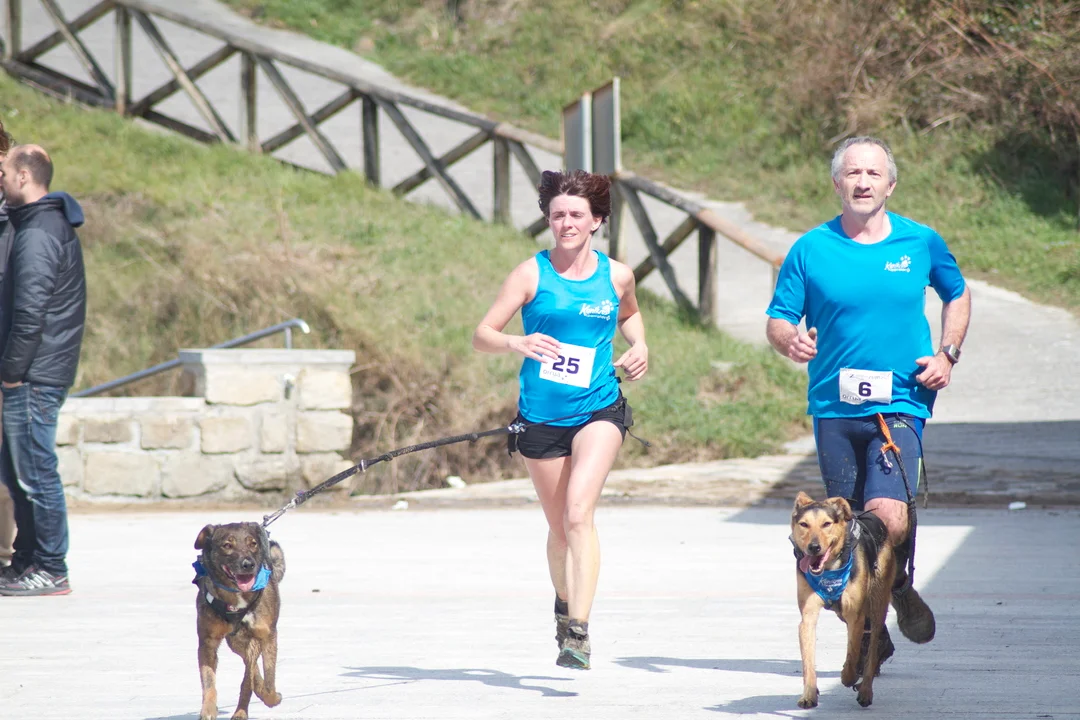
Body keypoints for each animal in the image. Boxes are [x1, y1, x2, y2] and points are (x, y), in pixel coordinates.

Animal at [193, 522, 286, 720]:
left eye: (253, 544)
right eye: (227, 545)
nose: (248, 564)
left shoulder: (267, 635)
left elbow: (267, 680)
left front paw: (272, 698)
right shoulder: (207, 642)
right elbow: (208, 681)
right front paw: (208, 710)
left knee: (250, 674)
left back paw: (243, 710)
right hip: (236, 642)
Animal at [791, 492, 895, 708]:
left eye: (826, 524)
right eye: (804, 524)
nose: (814, 547)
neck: (829, 570)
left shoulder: (855, 616)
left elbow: (853, 652)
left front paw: (849, 676)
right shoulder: (808, 617)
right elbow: (808, 661)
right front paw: (809, 695)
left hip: (877, 605)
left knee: (872, 649)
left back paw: (865, 690)